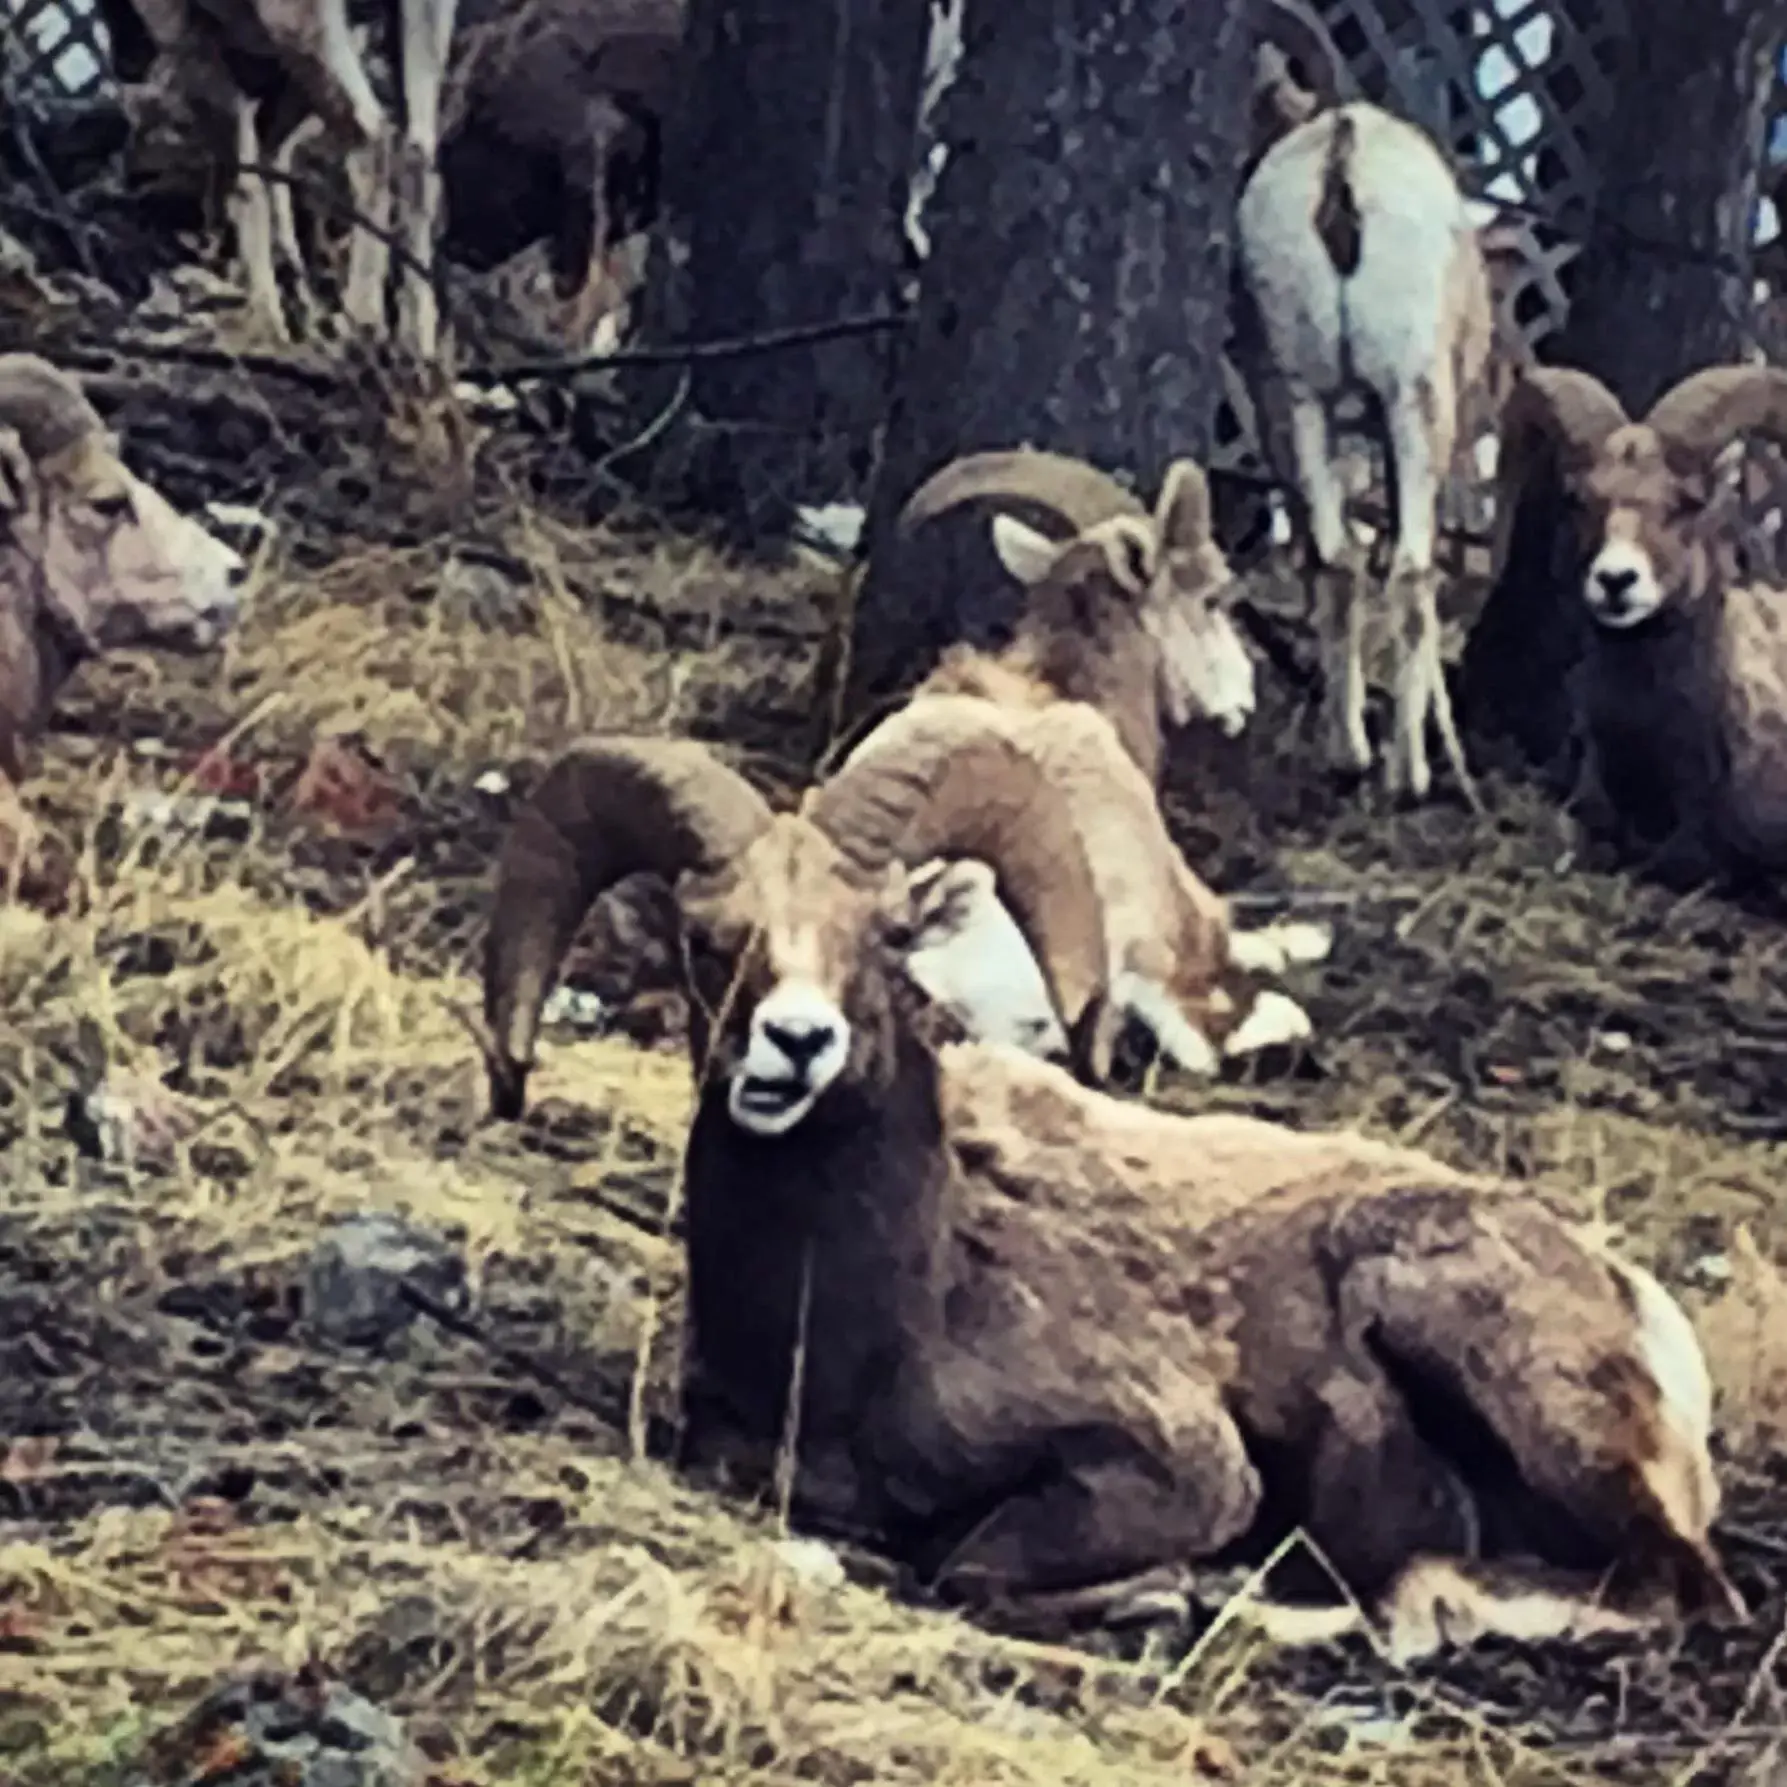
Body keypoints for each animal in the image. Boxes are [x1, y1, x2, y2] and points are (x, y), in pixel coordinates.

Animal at [482, 732, 1736, 1651]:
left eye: (883, 939)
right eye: (708, 941)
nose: (795, 1044)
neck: (863, 1322)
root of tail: (1635, 1303)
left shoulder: (1177, 1463)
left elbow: (970, 1558)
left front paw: (1168, 1588)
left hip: (1448, 1327)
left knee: (1669, 1583)